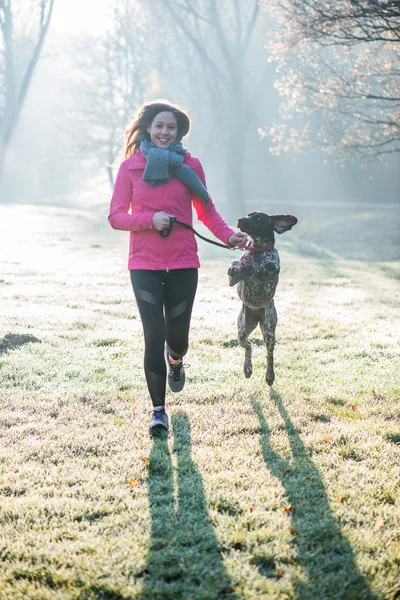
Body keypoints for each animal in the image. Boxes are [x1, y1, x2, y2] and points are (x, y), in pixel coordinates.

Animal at [228, 213, 296, 386]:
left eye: (258, 218)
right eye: (249, 215)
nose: (240, 220)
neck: (258, 249)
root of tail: (257, 317)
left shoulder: (272, 278)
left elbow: (272, 265)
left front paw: (268, 265)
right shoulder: (233, 281)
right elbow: (235, 265)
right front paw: (236, 266)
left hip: (270, 332)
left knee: (269, 355)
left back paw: (269, 376)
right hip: (242, 331)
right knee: (248, 346)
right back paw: (247, 369)